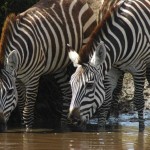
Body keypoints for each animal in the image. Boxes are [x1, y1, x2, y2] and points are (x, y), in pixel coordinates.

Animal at [0, 0, 96, 131]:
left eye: (9, 92)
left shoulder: (33, 79)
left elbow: (27, 113)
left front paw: (28, 132)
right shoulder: (18, 81)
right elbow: (20, 109)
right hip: (58, 65)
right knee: (67, 92)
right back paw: (63, 126)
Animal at [67, 0, 149, 131]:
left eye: (89, 85)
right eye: (71, 84)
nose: (73, 119)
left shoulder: (139, 68)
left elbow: (139, 100)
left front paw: (141, 130)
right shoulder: (112, 70)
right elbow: (105, 101)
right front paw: (101, 130)